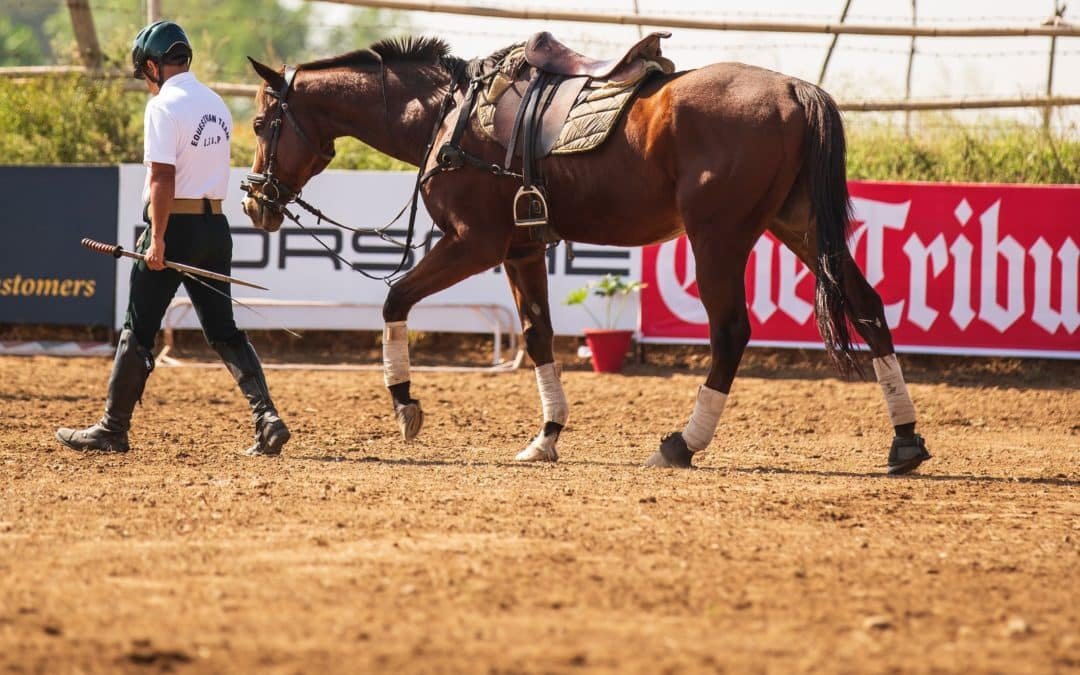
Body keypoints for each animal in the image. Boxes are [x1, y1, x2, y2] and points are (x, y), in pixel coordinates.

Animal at [240, 35, 931, 474]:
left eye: (259, 124)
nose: (255, 203)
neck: (449, 115)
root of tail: (792, 88)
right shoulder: (521, 250)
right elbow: (538, 335)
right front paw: (546, 437)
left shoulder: (473, 244)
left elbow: (395, 298)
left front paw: (406, 404)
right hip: (800, 228)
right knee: (868, 306)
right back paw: (905, 441)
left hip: (718, 238)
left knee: (731, 331)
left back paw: (682, 444)